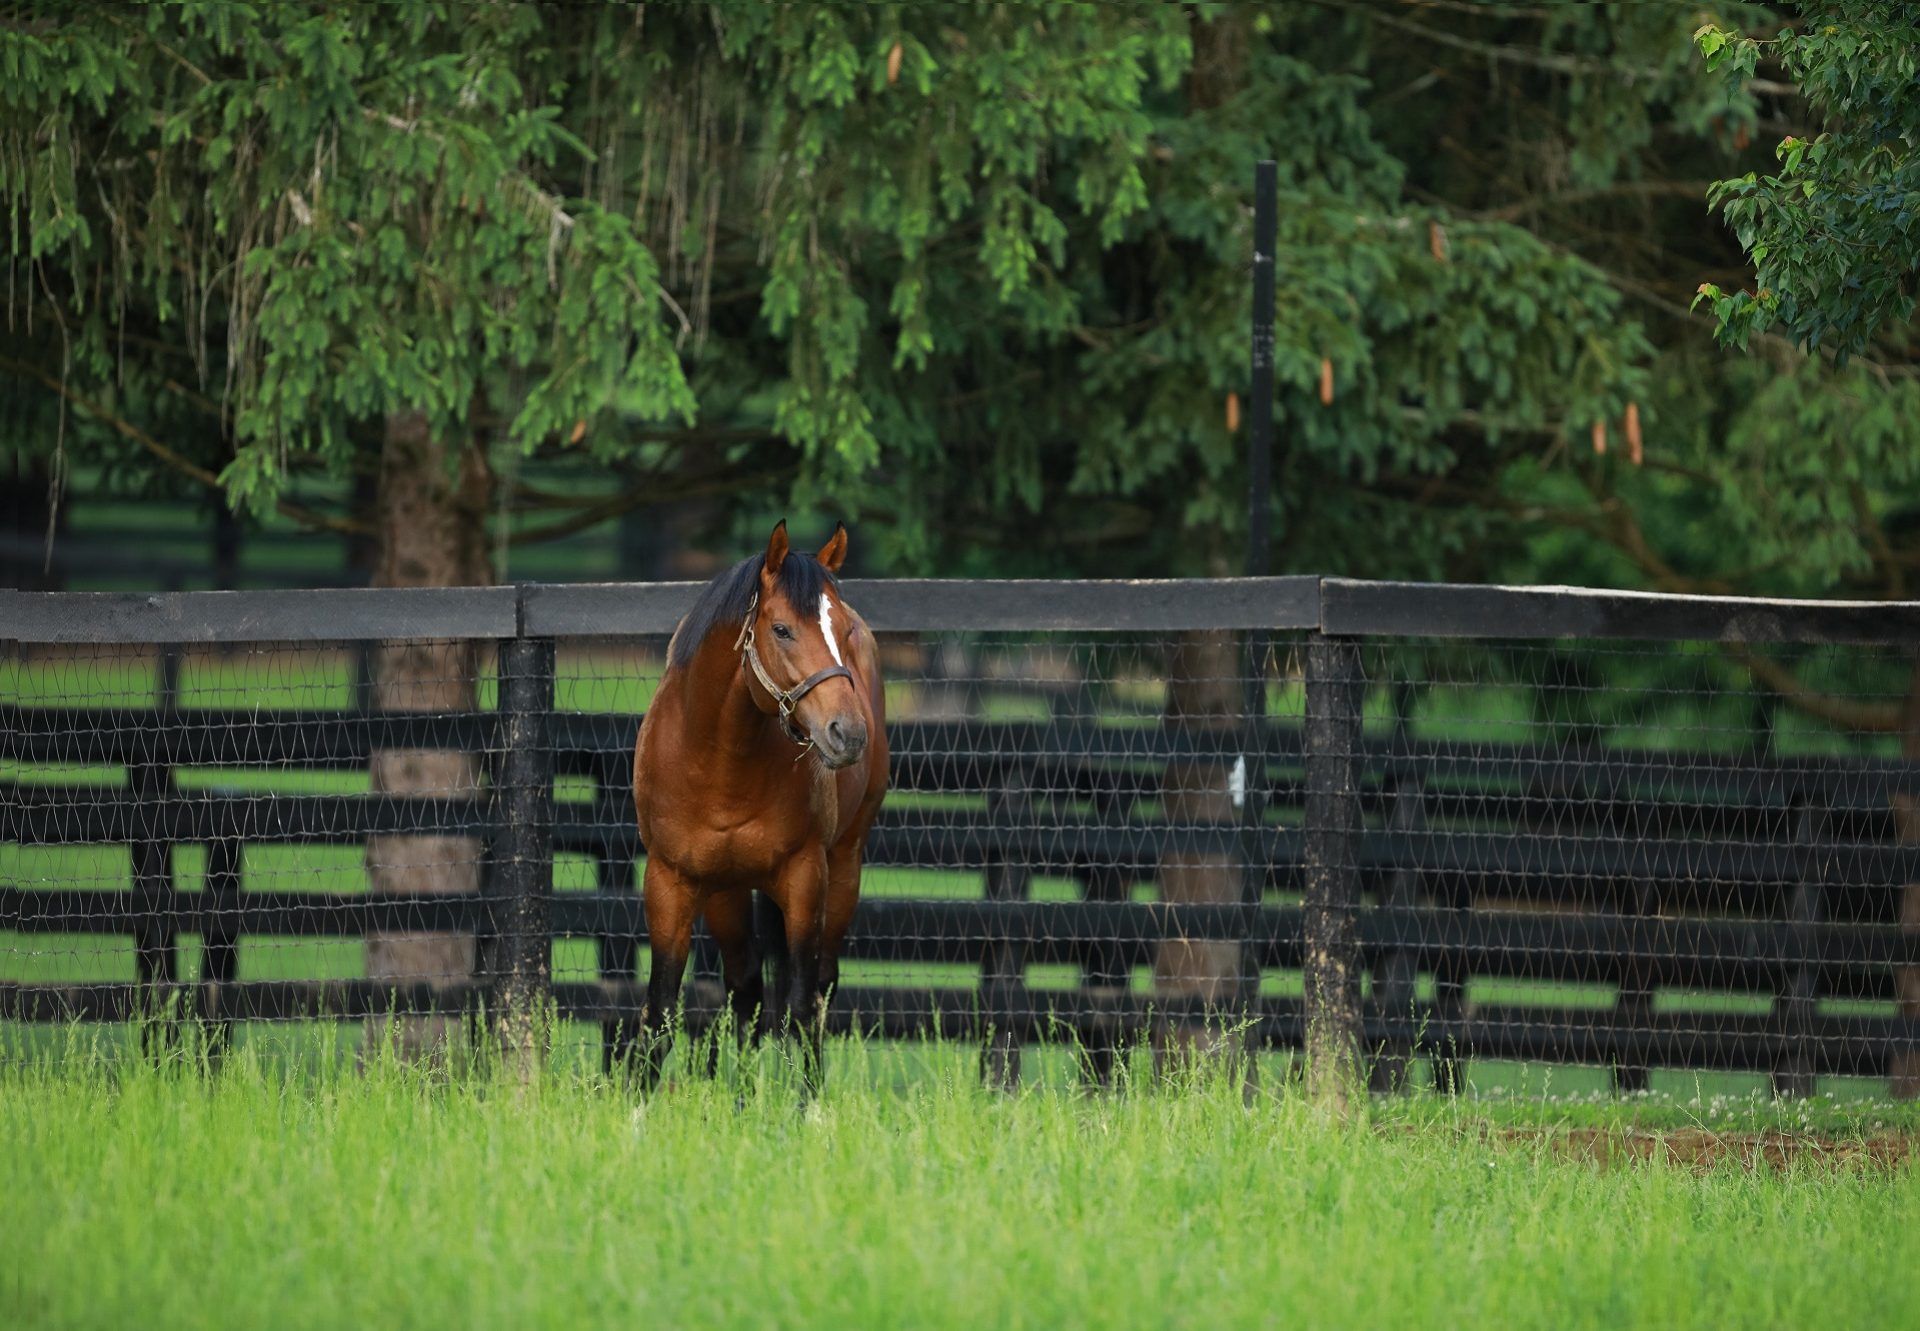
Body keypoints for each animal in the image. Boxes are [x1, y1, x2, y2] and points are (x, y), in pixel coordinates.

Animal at [637, 518, 890, 1090]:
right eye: (781, 630)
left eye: (843, 631)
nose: (849, 734)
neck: (719, 761)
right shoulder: (670, 881)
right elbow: (661, 1009)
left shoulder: (805, 878)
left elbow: (801, 1004)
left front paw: (809, 1105)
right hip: (726, 892)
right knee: (746, 989)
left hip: (844, 867)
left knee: (819, 986)